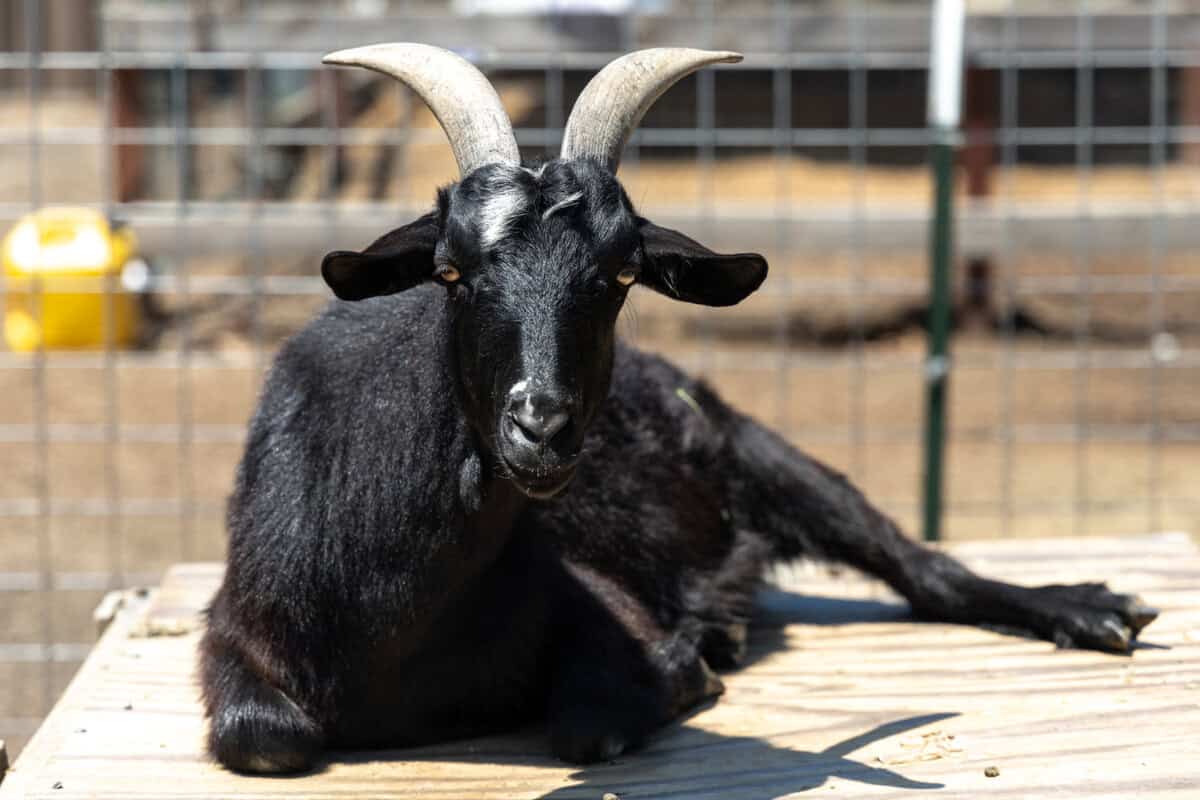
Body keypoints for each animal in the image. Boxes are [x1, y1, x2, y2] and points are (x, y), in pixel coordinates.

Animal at [200, 44, 1159, 775]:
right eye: (449, 269)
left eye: (623, 273)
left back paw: (1094, 609)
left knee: (924, 569)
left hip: (763, 450)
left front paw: (690, 663)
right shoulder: (233, 636)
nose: (542, 428)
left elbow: (594, 721)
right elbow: (262, 736)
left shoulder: (605, 608)